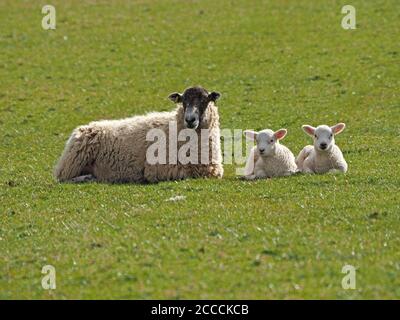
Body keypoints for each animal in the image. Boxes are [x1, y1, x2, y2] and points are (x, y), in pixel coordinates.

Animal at [53, 85, 223, 182]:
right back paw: (87, 178)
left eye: (205, 100)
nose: (190, 119)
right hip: (73, 161)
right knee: (62, 178)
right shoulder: (160, 169)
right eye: (183, 101)